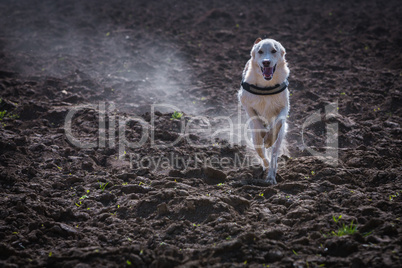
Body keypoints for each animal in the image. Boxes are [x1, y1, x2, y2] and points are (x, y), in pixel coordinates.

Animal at [237, 37, 290, 184]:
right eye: (260, 51)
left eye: (274, 51)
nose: (266, 62)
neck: (266, 86)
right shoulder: (245, 102)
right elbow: (256, 123)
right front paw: (263, 133)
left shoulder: (284, 106)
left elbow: (278, 122)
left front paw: (269, 139)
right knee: (261, 151)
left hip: (280, 137)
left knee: (273, 155)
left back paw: (271, 176)